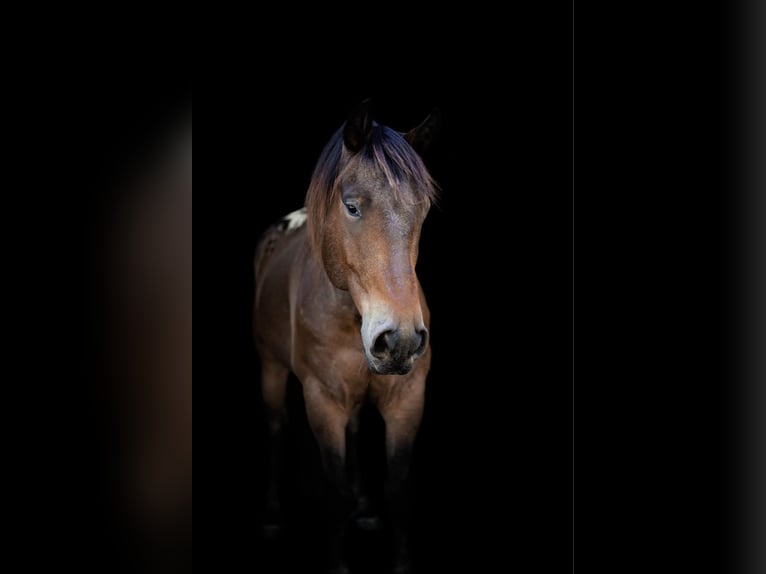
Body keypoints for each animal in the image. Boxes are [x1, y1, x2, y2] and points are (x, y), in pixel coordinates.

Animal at [255, 100, 440, 574]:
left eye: (422, 211)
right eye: (352, 207)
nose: (400, 339)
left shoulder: (407, 398)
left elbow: (398, 491)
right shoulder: (323, 401)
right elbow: (334, 496)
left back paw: (365, 508)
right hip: (270, 367)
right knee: (276, 428)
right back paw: (271, 517)